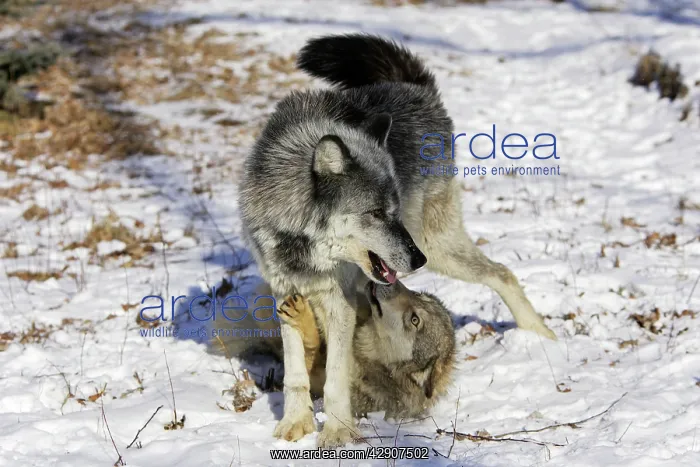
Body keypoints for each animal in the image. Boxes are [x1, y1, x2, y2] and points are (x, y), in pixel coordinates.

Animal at [240, 33, 556, 448]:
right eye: (376, 213)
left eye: (394, 209)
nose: (416, 261)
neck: (299, 242)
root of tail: (417, 88)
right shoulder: (285, 289)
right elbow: (294, 373)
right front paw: (295, 424)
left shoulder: (340, 303)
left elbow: (338, 375)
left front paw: (337, 432)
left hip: (437, 246)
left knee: (503, 273)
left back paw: (542, 336)